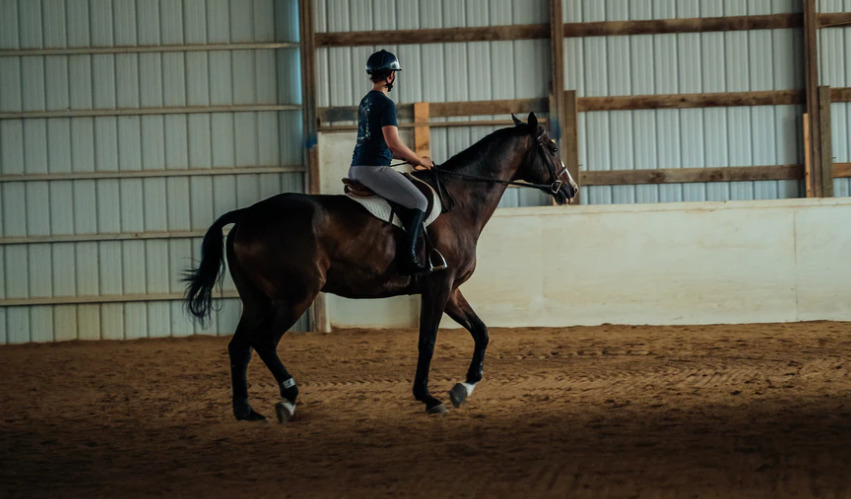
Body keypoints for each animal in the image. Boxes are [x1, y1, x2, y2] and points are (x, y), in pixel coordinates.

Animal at [180, 112, 580, 422]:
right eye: (552, 147)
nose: (571, 189)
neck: (460, 202)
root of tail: (247, 215)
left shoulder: (451, 288)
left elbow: (481, 332)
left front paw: (463, 388)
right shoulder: (438, 286)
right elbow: (427, 340)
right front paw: (429, 397)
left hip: (257, 300)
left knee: (240, 347)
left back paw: (246, 410)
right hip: (295, 296)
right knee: (263, 342)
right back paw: (288, 399)